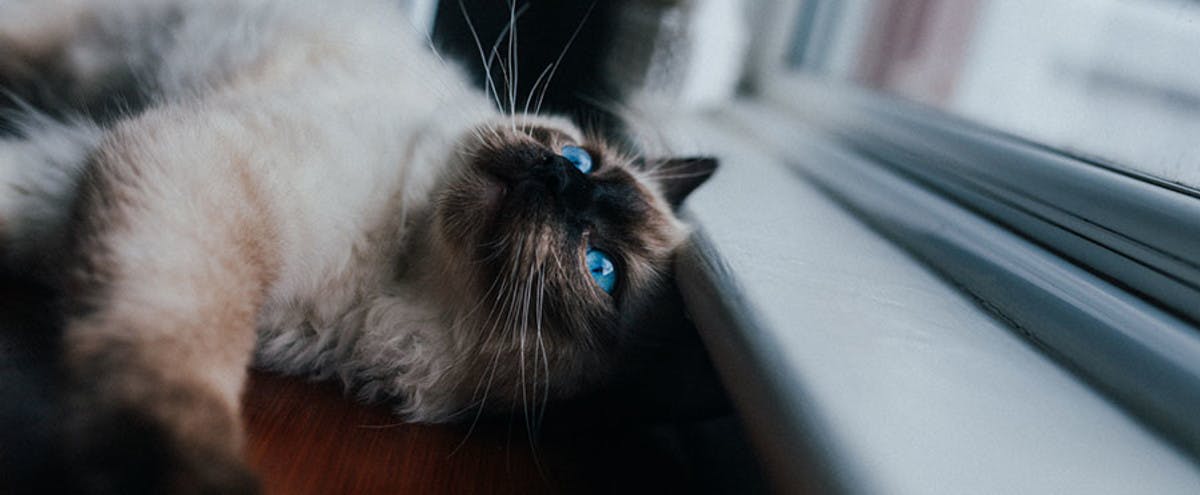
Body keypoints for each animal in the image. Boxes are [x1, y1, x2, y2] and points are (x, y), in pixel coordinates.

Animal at [0, 0, 710, 490]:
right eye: (581, 160)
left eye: (601, 268)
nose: (560, 179)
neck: (386, 279)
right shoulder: (196, 164)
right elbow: (177, 356)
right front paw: (172, 469)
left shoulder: (70, 180)